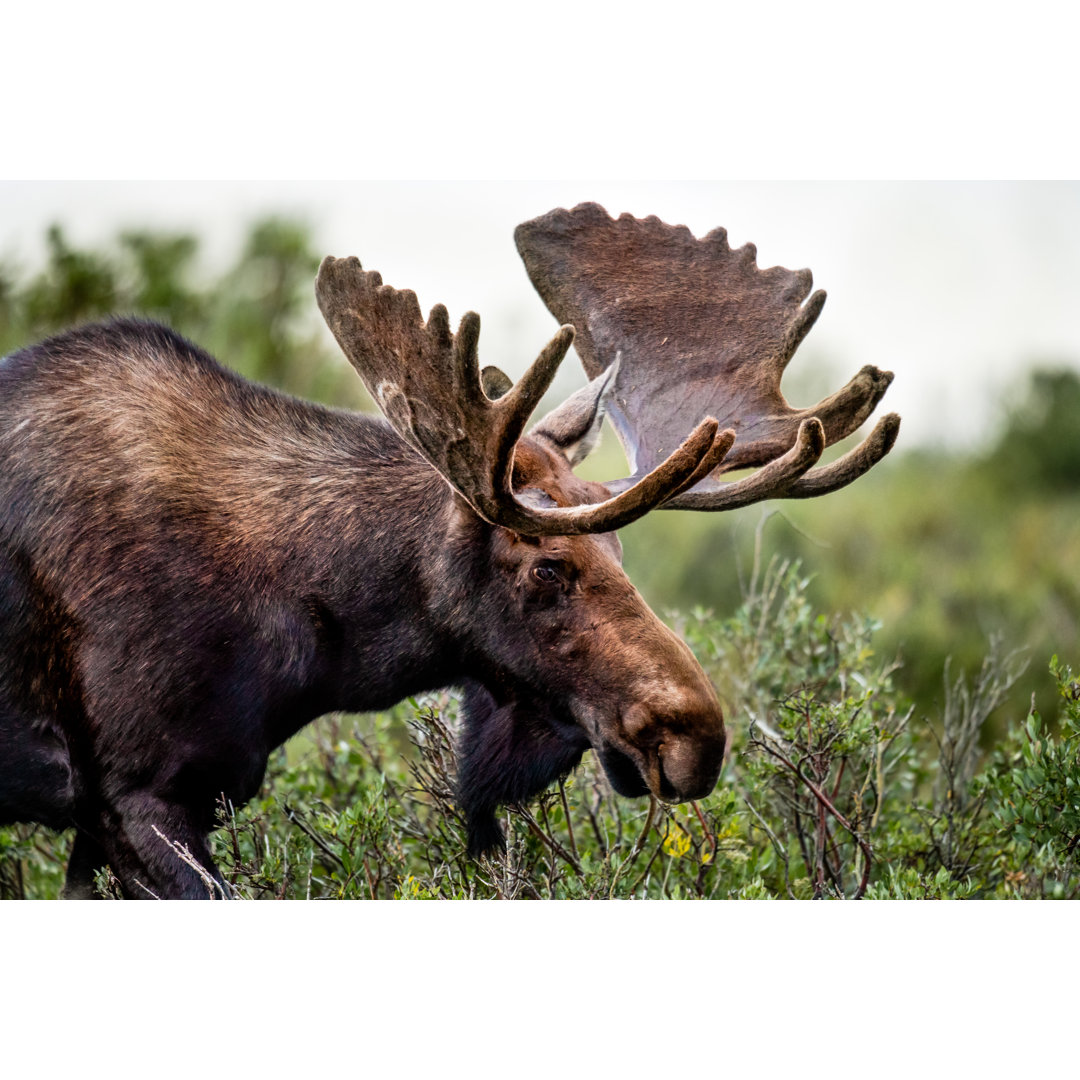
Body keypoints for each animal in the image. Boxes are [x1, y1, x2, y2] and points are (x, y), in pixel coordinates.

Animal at [0, 203, 894, 894]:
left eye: (620, 551)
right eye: (547, 566)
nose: (697, 737)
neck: (310, 641)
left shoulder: (125, 816)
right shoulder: (133, 797)